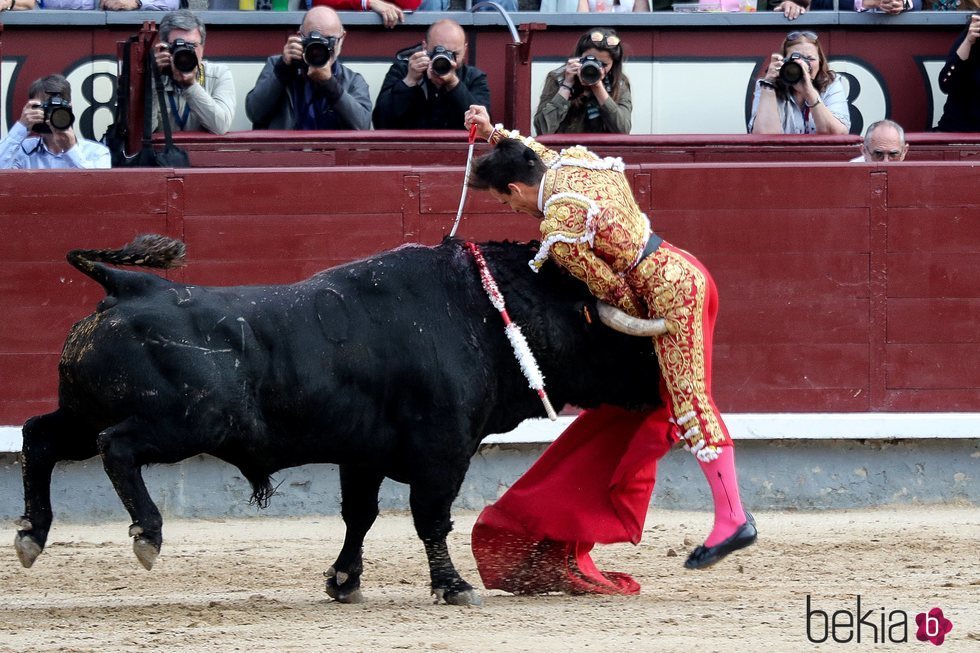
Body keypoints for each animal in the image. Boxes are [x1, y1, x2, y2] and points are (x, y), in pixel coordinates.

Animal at [15, 234, 664, 608]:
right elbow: (432, 518)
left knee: (39, 437)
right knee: (116, 447)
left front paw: (344, 582)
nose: (662, 390)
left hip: (84, 412)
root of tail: (127, 285)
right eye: (623, 336)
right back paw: (146, 534)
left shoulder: (363, 454)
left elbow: (360, 516)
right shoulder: (443, 449)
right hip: (185, 422)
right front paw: (453, 587)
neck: (483, 312)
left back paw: (31, 534)